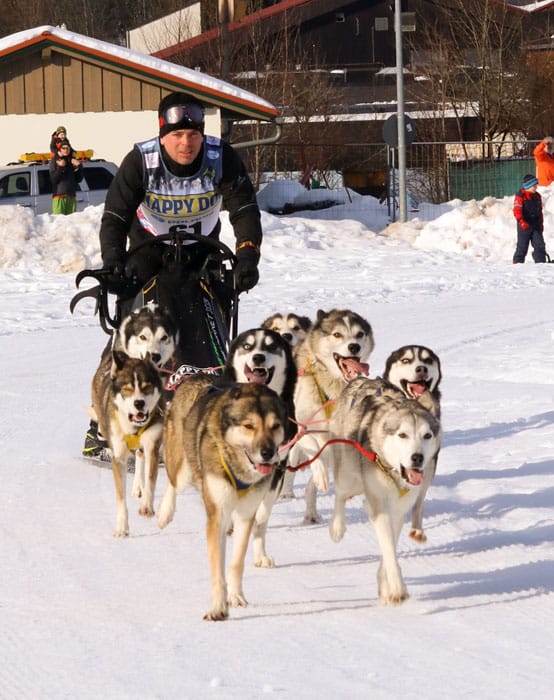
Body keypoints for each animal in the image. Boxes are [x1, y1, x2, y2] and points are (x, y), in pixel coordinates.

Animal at [89, 350, 163, 536]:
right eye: (127, 389)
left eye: (146, 387)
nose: (139, 403)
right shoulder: (119, 458)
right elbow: (120, 497)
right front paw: (122, 527)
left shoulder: (152, 446)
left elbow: (150, 479)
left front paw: (146, 506)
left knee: (140, 458)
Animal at [155, 380, 284, 620]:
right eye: (249, 426)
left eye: (275, 426)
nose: (268, 453)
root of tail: (194, 377)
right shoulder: (217, 515)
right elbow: (217, 571)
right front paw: (218, 607)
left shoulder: (246, 515)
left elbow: (236, 563)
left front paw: (236, 596)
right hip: (182, 467)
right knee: (173, 482)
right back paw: (164, 512)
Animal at [286, 308, 374, 524]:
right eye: (337, 334)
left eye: (360, 334)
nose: (354, 346)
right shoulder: (302, 427)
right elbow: (314, 452)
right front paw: (320, 474)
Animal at [328, 378, 440, 608]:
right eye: (403, 434)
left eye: (427, 435)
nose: (417, 458)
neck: (394, 474)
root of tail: (360, 379)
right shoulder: (381, 508)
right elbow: (389, 550)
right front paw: (397, 590)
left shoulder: (397, 512)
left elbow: (390, 550)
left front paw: (386, 586)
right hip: (349, 476)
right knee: (340, 495)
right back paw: (337, 528)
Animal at [384, 346, 440, 540]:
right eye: (406, 360)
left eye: (428, 360)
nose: (421, 368)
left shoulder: (429, 462)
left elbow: (419, 499)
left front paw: (417, 529)